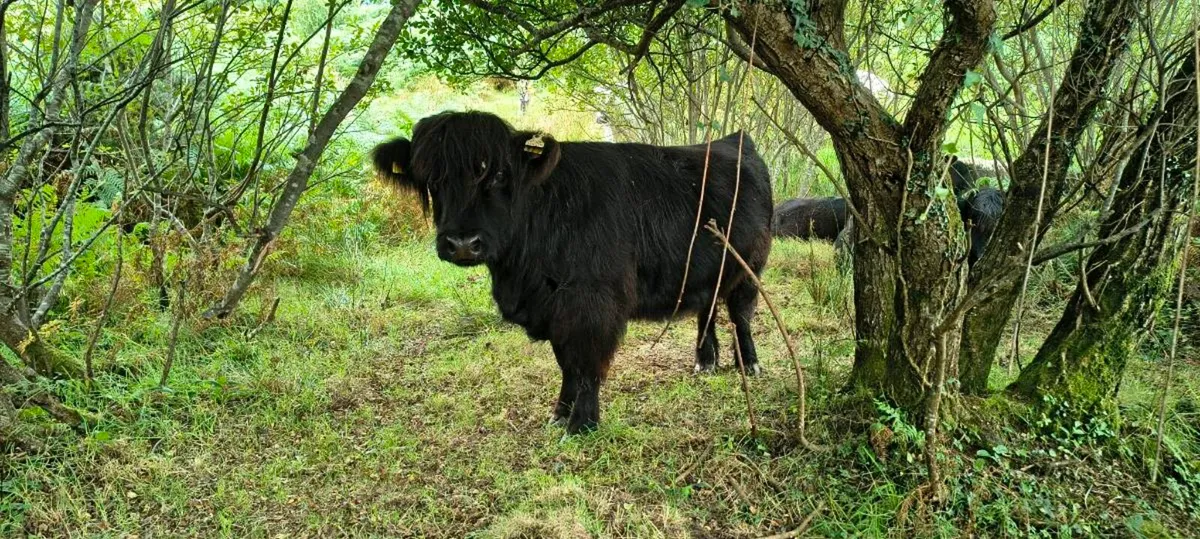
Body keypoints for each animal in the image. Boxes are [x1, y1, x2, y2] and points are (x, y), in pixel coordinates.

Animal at [370, 111, 774, 434]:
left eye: (500, 175)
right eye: (432, 178)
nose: (463, 243)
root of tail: (733, 140)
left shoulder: (592, 302)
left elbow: (585, 364)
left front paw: (582, 423)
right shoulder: (556, 308)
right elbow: (566, 363)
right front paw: (560, 415)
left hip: (750, 266)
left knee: (740, 314)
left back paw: (751, 363)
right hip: (708, 270)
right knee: (708, 308)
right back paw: (705, 361)